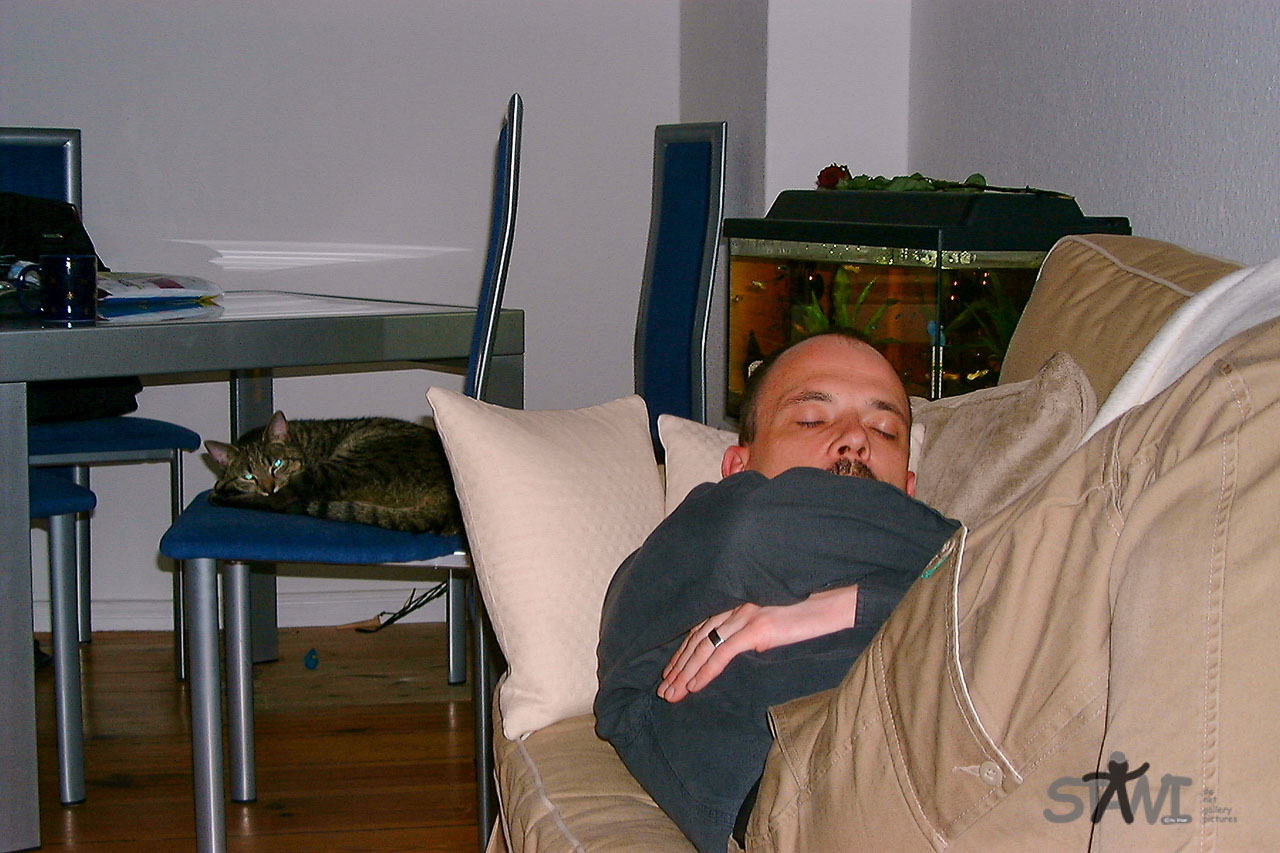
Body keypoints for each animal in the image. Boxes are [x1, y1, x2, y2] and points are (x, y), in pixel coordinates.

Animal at [204, 410, 463, 535]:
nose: (268, 487)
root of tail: (447, 504)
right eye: (248, 476)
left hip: (340, 467)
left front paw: (223, 486)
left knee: (276, 502)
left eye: (277, 464)